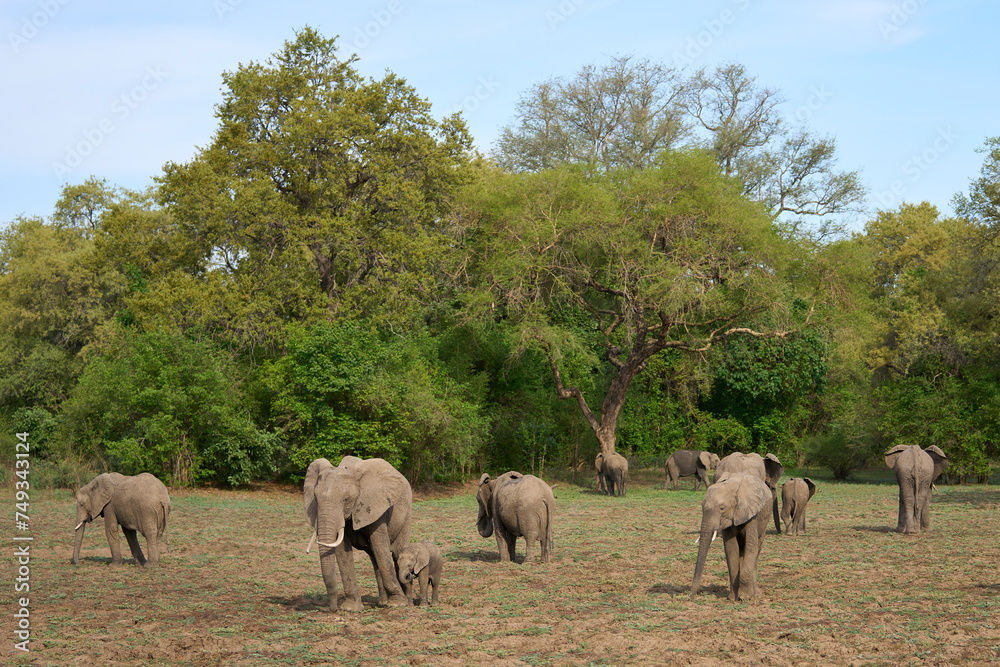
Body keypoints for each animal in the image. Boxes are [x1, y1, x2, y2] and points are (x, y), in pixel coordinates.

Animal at [303, 456, 412, 611]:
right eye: (316, 499)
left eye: (346, 499)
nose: (333, 609)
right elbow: (342, 552)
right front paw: (350, 608)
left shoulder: (375, 506)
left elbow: (381, 549)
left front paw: (397, 604)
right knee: (374, 558)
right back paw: (382, 602)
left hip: (406, 513)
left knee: (397, 553)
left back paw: (407, 602)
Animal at [690, 471, 772, 601]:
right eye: (702, 507)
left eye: (722, 508)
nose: (690, 597)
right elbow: (731, 548)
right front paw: (733, 599)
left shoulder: (751, 512)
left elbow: (751, 546)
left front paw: (745, 597)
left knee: (757, 549)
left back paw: (756, 594)